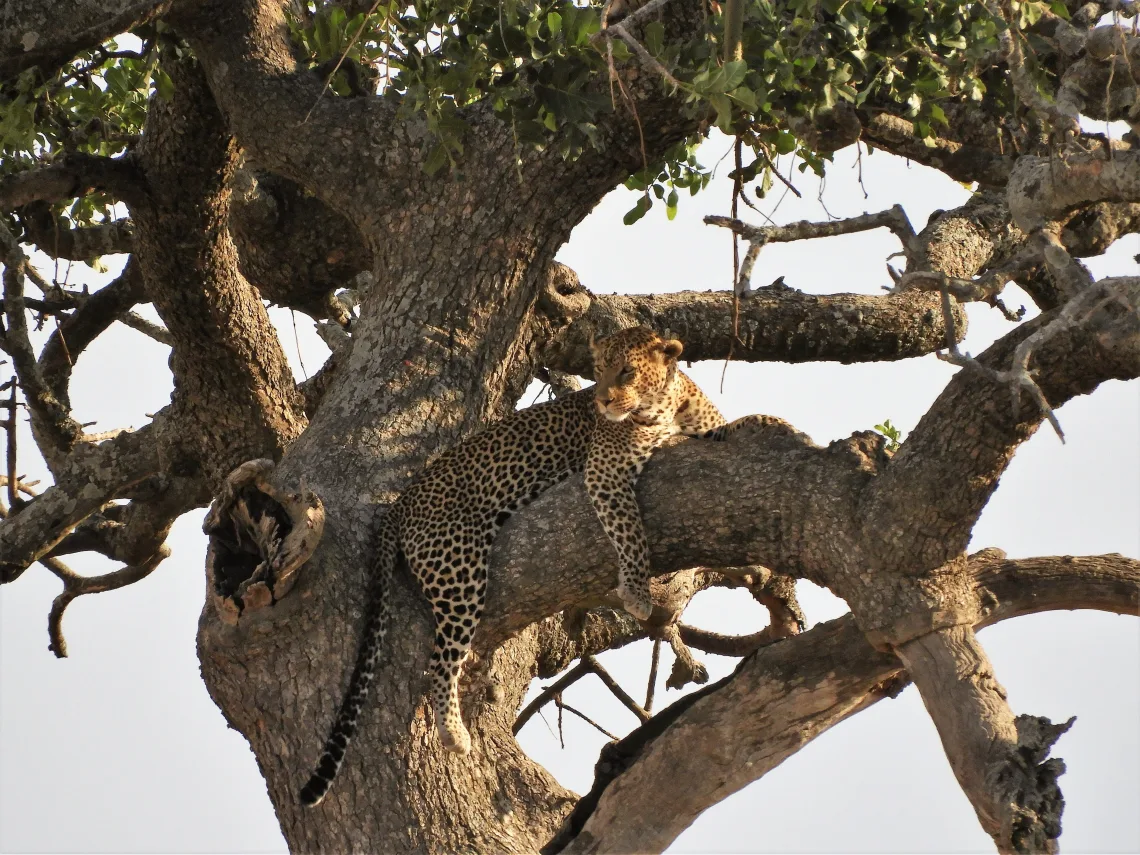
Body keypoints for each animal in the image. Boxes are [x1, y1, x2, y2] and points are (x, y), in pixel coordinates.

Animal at [298, 323, 761, 807]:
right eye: (598, 369)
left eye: (626, 371)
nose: (602, 402)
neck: (666, 404)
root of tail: (399, 505)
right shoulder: (605, 470)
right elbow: (630, 528)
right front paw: (635, 591)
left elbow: (730, 426)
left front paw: (765, 422)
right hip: (459, 569)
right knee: (441, 662)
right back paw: (453, 733)